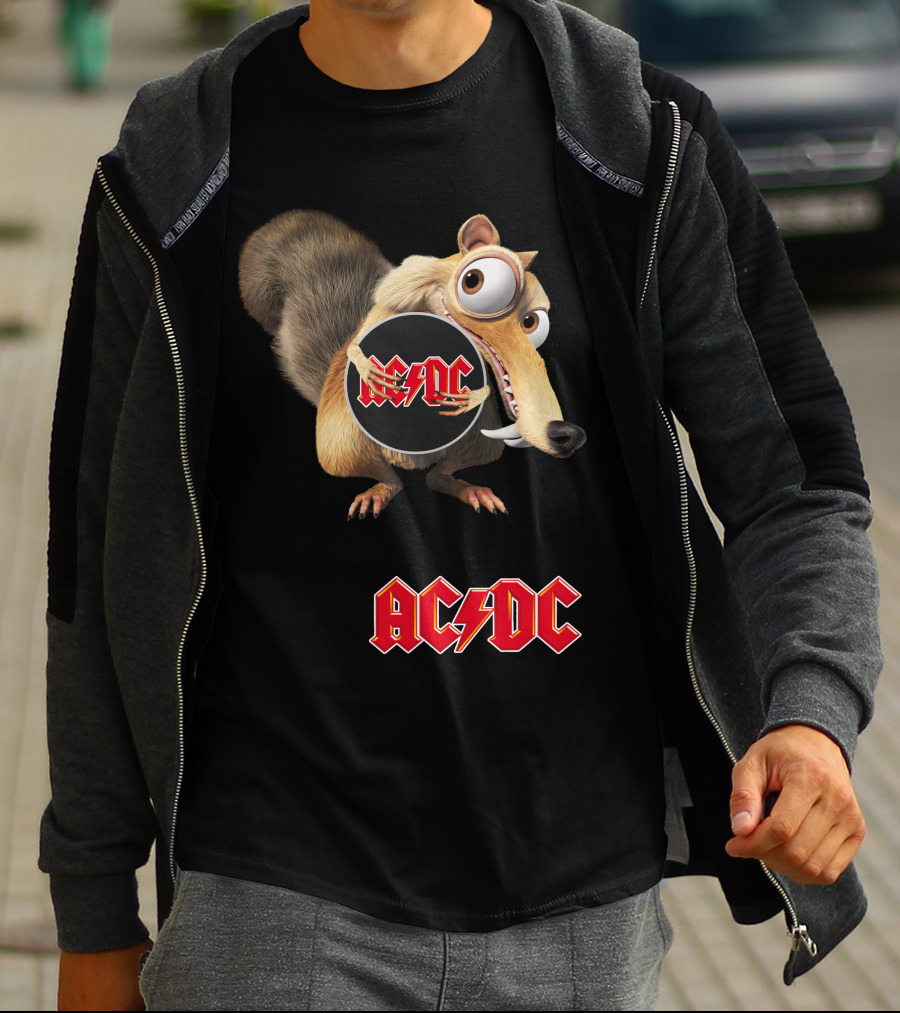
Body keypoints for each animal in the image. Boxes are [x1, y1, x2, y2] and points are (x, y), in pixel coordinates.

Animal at [239, 210, 586, 518]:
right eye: (474, 281)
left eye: (531, 322)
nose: (565, 433)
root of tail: (412, 462)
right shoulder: (391, 305)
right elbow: (356, 344)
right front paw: (369, 370)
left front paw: (472, 394)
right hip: (343, 444)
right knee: (388, 477)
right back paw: (381, 490)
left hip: (478, 440)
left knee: (438, 476)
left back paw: (467, 488)